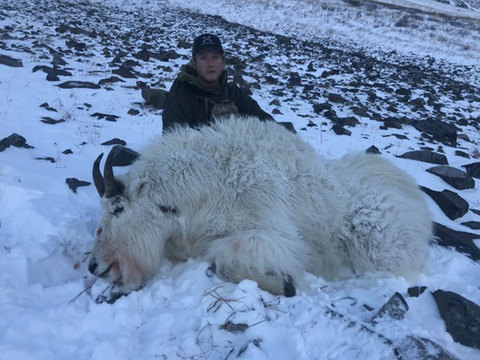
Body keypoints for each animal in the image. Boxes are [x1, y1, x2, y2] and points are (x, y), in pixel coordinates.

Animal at [89, 116, 432, 296]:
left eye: (118, 209)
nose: (95, 266)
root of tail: (418, 203)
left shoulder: (274, 235)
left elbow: (224, 260)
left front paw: (285, 283)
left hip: (376, 249)